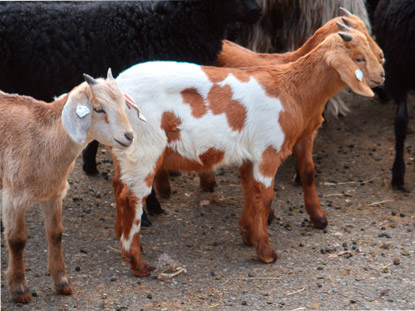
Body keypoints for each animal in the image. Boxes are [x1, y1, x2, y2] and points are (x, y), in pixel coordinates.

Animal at [0, 71, 137, 304]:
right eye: (98, 109)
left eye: (123, 104)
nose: (129, 136)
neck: (41, 139)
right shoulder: (13, 197)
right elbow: (16, 240)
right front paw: (19, 289)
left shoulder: (54, 193)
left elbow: (56, 234)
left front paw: (62, 282)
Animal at [112, 29, 386, 276]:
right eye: (359, 58)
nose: (382, 76)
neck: (291, 89)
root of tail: (116, 86)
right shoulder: (267, 152)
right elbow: (264, 198)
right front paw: (265, 252)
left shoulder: (248, 155)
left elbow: (248, 191)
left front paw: (248, 235)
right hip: (145, 149)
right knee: (132, 198)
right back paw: (137, 263)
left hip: (123, 149)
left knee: (118, 187)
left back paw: (120, 238)